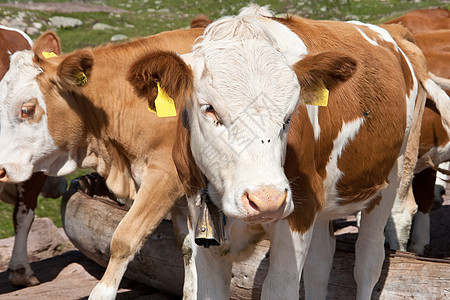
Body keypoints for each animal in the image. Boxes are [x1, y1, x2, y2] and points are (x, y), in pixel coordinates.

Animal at [127, 5, 450, 298]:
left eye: (290, 114)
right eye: (210, 109)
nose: (266, 200)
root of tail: (393, 33)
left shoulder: (298, 215)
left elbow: (281, 288)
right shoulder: (201, 222)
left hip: (390, 178)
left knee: (369, 261)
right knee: (321, 263)